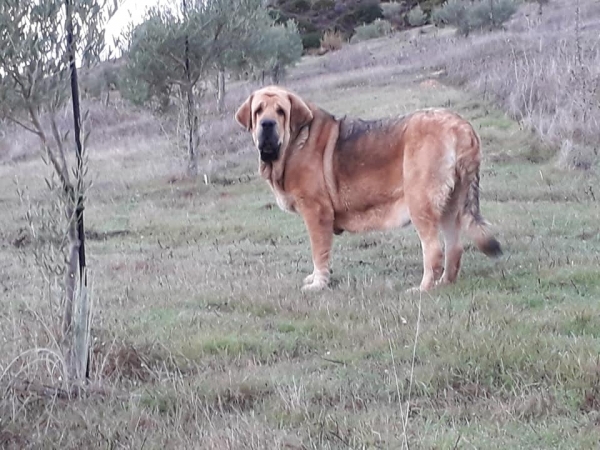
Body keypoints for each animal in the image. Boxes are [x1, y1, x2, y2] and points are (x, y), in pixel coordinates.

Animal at [234, 85, 502, 292]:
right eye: (258, 111)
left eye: (281, 111)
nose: (267, 124)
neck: (295, 142)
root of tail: (462, 127)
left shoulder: (316, 212)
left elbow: (319, 252)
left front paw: (318, 283)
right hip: (451, 205)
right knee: (454, 248)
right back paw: (445, 283)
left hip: (420, 202)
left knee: (434, 251)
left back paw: (423, 288)